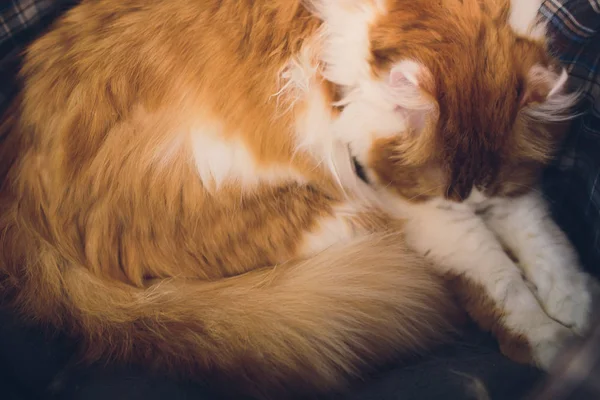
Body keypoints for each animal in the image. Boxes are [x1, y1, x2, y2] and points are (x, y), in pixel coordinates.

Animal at [0, 0, 596, 398]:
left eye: (479, 191)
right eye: (439, 194)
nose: (467, 205)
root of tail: (24, 206)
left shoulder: (508, 192)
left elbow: (544, 243)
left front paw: (575, 308)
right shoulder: (423, 213)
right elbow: (499, 279)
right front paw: (548, 338)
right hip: (336, 214)